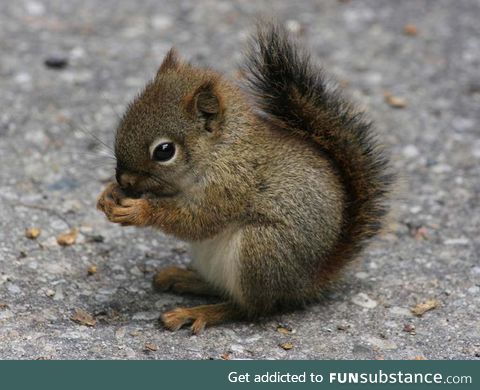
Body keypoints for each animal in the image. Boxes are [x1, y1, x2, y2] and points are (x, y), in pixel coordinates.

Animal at [97, 22, 394, 334]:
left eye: (164, 151)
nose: (124, 180)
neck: (221, 150)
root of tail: (307, 282)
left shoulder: (231, 186)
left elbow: (198, 221)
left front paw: (139, 211)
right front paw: (109, 194)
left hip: (260, 250)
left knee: (250, 308)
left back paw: (199, 312)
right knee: (221, 288)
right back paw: (184, 278)